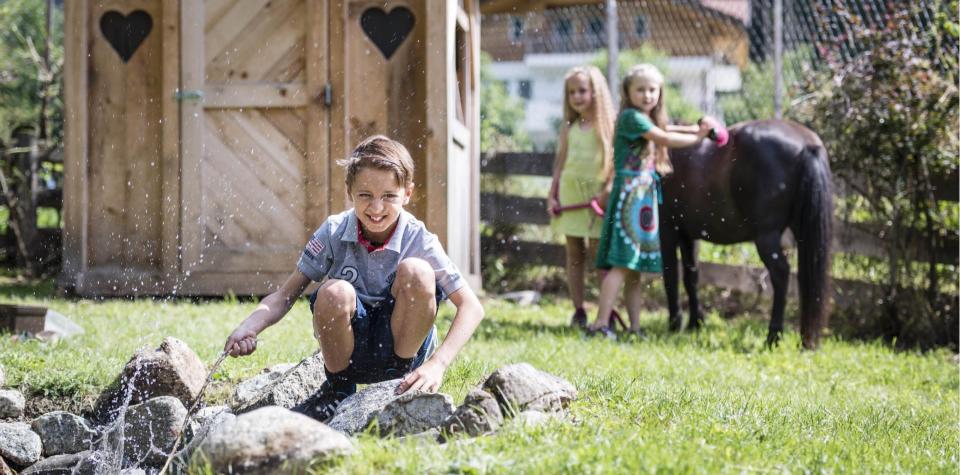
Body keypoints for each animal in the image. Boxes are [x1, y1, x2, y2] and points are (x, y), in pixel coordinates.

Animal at [659, 120, 834, 349]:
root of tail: (807, 144)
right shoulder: (689, 235)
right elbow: (692, 277)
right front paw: (695, 323)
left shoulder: (667, 230)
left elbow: (670, 275)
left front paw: (675, 324)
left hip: (766, 237)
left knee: (781, 273)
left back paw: (773, 336)